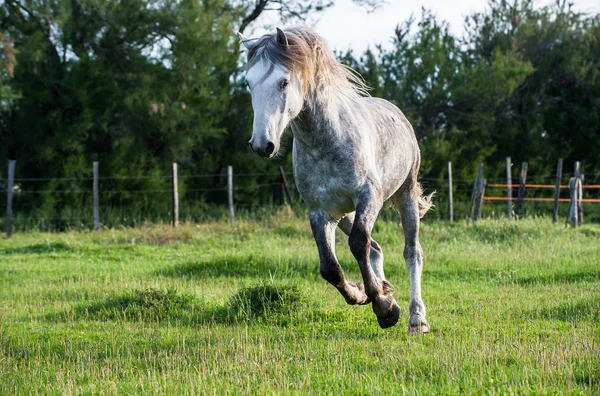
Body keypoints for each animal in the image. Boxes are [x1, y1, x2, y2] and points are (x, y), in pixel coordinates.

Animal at [239, 26, 432, 332]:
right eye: (248, 84)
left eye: (283, 82)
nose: (262, 145)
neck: (327, 141)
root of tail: (398, 114)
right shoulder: (320, 212)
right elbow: (330, 268)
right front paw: (369, 295)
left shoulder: (369, 197)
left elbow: (358, 243)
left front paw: (385, 309)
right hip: (345, 214)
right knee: (375, 248)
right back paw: (383, 289)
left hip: (405, 195)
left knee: (411, 252)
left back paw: (417, 319)